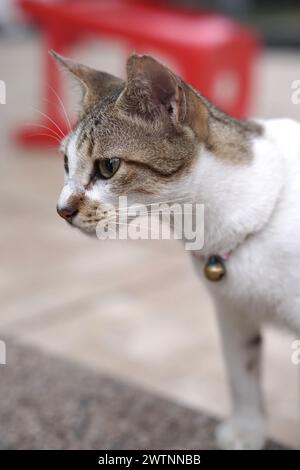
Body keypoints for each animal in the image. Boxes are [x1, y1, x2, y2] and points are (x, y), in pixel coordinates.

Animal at [51, 49, 300, 450]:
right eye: (65, 164)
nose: (62, 210)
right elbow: (241, 371)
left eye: (108, 166)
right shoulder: (232, 309)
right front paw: (247, 429)